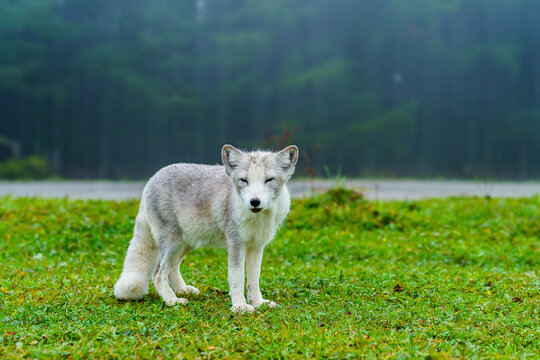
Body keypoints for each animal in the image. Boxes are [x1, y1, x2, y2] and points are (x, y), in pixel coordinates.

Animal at [114, 143, 300, 312]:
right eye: (244, 180)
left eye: (268, 180)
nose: (254, 201)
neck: (256, 218)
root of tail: (151, 180)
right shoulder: (236, 244)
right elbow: (238, 279)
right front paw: (240, 307)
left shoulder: (256, 246)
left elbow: (254, 279)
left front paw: (258, 303)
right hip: (172, 243)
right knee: (158, 274)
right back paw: (172, 301)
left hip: (185, 244)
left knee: (172, 268)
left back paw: (183, 290)